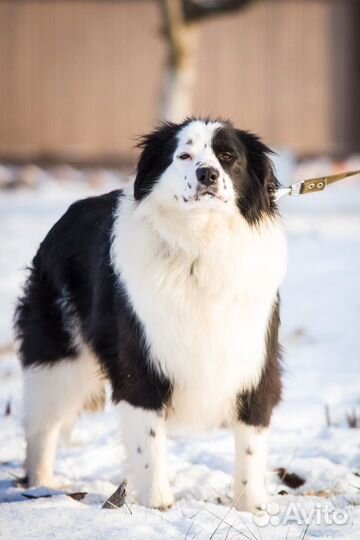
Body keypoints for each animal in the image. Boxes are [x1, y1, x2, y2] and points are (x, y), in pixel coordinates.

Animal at [16, 118, 286, 510]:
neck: (200, 249)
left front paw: (252, 509)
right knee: (42, 427)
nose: (207, 174)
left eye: (228, 157)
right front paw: (157, 505)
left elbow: (251, 443)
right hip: (57, 360)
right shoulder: (140, 361)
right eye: (184, 155)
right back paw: (41, 486)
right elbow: (149, 442)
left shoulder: (253, 361)